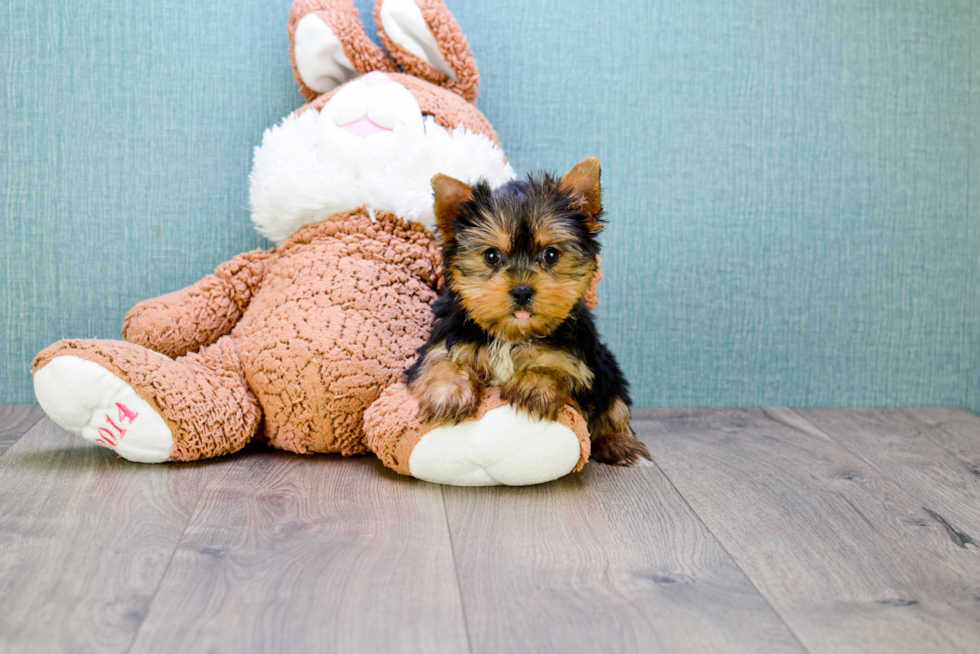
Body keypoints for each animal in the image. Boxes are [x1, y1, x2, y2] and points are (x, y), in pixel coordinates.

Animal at [406, 158, 652, 466]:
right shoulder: (447, 339)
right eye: (491, 256)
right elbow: (442, 361)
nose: (522, 291)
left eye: (551, 255)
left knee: (616, 406)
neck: (513, 335)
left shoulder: (580, 361)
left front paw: (534, 385)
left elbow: (556, 366)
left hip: (608, 368)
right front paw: (449, 393)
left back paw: (619, 442)